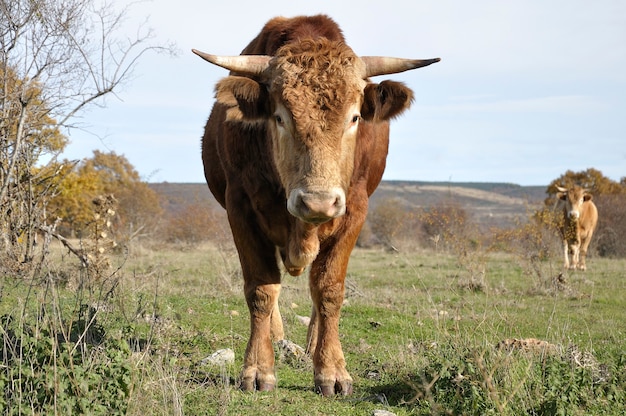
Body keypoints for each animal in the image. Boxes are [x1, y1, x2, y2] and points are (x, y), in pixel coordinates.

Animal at [193, 14, 436, 394]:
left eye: (354, 117)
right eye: (279, 117)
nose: (317, 201)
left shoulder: (354, 210)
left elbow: (328, 290)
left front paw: (332, 369)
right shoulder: (240, 207)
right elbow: (261, 289)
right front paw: (258, 367)